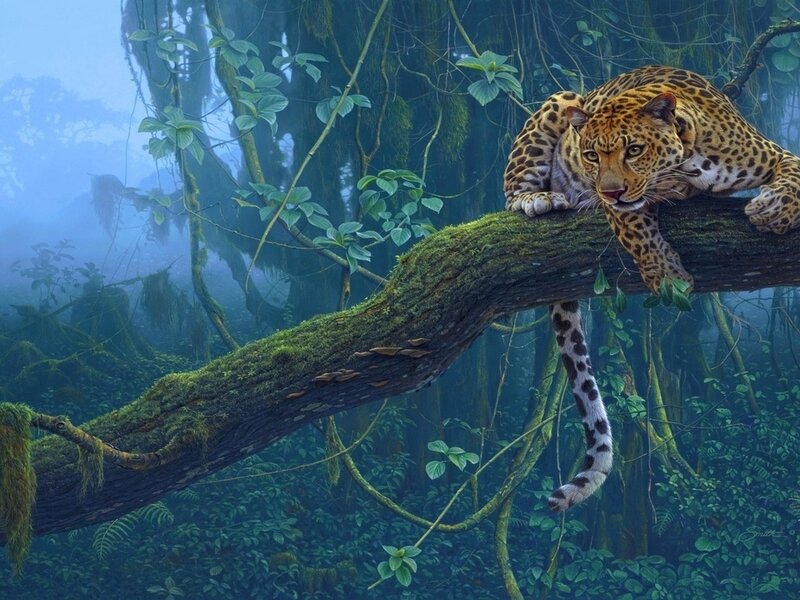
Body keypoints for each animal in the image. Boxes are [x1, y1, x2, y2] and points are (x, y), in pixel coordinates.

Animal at [504, 65, 800, 512]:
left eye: (634, 149)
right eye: (591, 155)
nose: (609, 190)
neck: (690, 161)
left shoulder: (774, 153)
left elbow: (794, 174)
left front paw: (775, 211)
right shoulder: (619, 207)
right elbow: (636, 228)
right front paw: (667, 276)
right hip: (560, 101)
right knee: (510, 195)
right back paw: (538, 198)